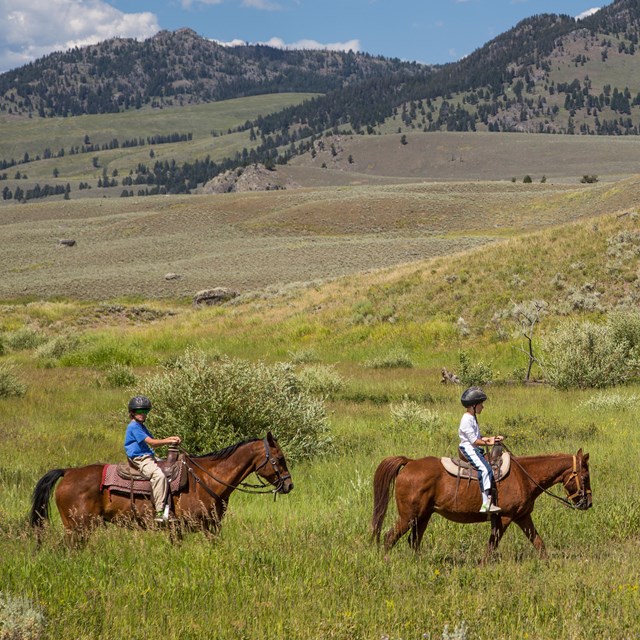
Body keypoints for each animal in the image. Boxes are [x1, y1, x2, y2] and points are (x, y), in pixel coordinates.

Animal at [28, 432, 292, 544]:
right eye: (279, 459)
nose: (289, 484)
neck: (206, 480)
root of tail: (68, 472)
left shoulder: (211, 527)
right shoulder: (183, 527)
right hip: (77, 527)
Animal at [372, 448, 592, 564]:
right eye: (585, 477)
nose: (588, 503)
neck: (524, 476)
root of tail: (409, 463)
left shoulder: (523, 517)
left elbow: (538, 542)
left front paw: (547, 563)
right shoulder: (505, 517)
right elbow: (493, 543)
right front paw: (484, 565)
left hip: (423, 516)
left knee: (414, 540)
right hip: (409, 516)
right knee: (390, 537)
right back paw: (385, 561)